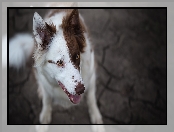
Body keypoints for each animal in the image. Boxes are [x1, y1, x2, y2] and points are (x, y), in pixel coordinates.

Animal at [7, 4, 104, 132]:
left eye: (77, 56)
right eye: (59, 62)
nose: (81, 90)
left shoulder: (91, 77)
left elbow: (91, 99)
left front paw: (96, 118)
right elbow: (47, 99)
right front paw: (45, 116)